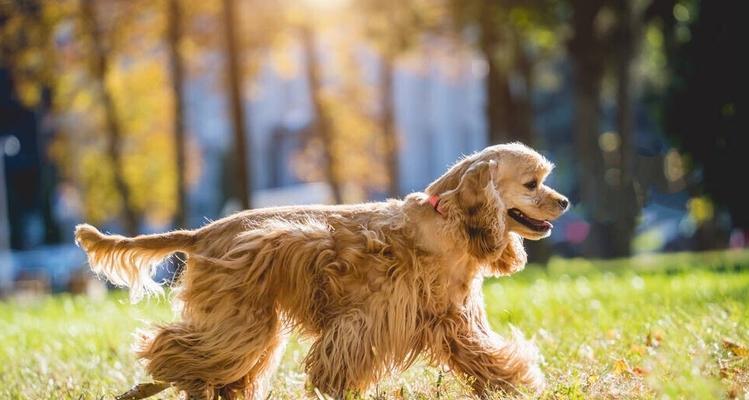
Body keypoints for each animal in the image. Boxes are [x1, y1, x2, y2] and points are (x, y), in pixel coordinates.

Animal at [74, 144, 568, 400]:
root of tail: (203, 232)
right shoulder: (368, 318)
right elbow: (340, 361)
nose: (564, 201)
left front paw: (513, 384)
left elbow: (484, 356)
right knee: (177, 348)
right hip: (240, 318)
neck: (449, 220)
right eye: (532, 183)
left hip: (248, 322)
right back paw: (178, 379)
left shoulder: (452, 318)